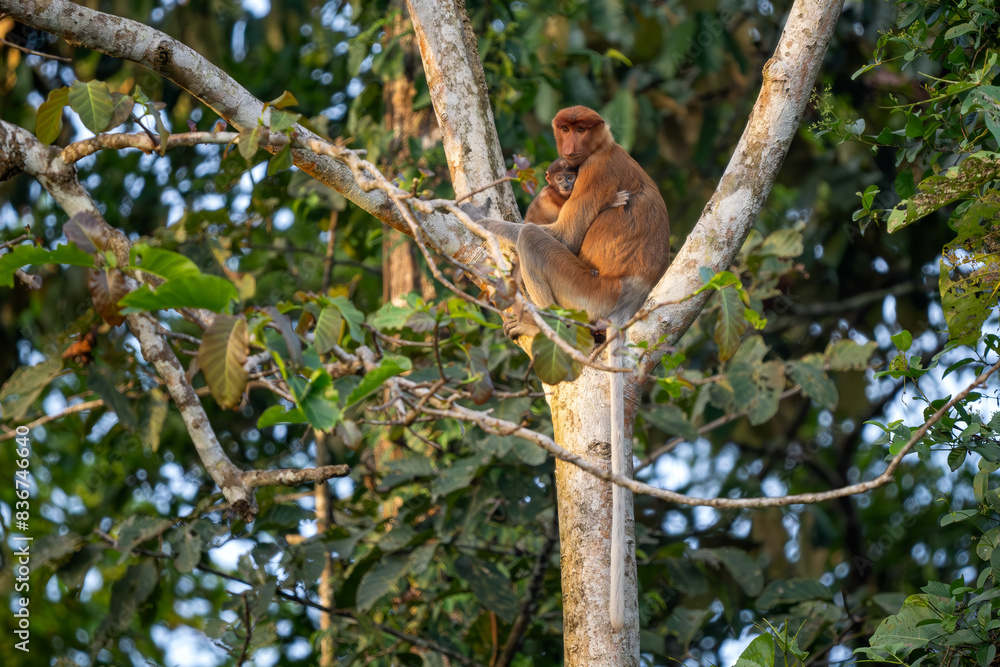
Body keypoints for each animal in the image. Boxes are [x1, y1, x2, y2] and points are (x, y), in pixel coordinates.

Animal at [474, 106, 671, 631]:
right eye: (565, 129)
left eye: (583, 129)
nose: (569, 151)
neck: (605, 146)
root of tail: (627, 300)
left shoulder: (595, 170)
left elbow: (556, 235)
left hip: (586, 292)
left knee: (534, 240)